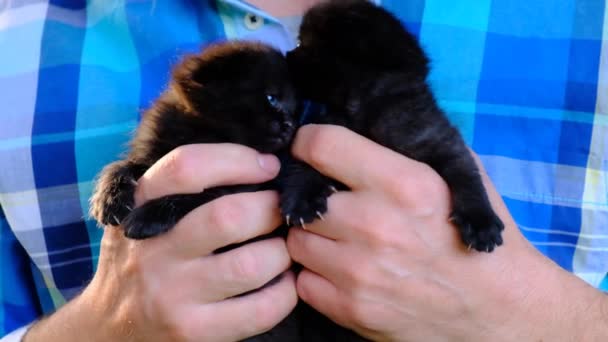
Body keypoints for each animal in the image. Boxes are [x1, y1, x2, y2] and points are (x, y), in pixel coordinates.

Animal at [90, 41, 296, 239]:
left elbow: (200, 194)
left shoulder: (243, 186)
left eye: (294, 110)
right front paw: (109, 197)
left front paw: (150, 215)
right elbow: (122, 164)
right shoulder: (150, 151)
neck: (203, 132)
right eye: (271, 98)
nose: (289, 125)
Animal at [282, 0, 504, 251]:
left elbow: (466, 174)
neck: (366, 108)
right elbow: (305, 165)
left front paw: (480, 220)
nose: (286, 55)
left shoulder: (441, 140)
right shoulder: (326, 126)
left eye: (301, 42)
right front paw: (301, 197)